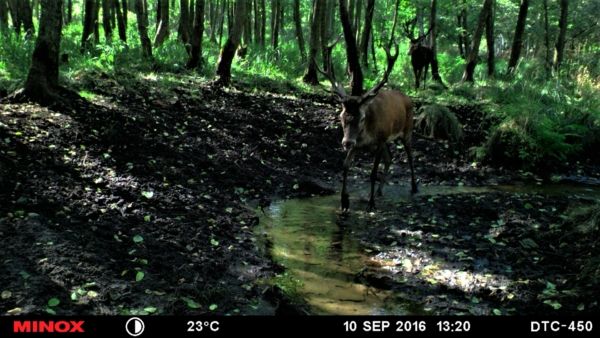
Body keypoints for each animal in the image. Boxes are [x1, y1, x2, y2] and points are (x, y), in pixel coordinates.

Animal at [318, 42, 418, 211]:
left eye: (362, 118)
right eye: (341, 116)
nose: (346, 142)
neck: (366, 134)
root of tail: (408, 98)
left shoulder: (380, 139)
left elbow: (372, 172)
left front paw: (371, 204)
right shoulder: (359, 143)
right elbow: (345, 166)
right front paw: (344, 202)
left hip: (407, 130)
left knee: (410, 157)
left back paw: (414, 187)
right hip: (388, 139)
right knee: (389, 159)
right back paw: (379, 191)